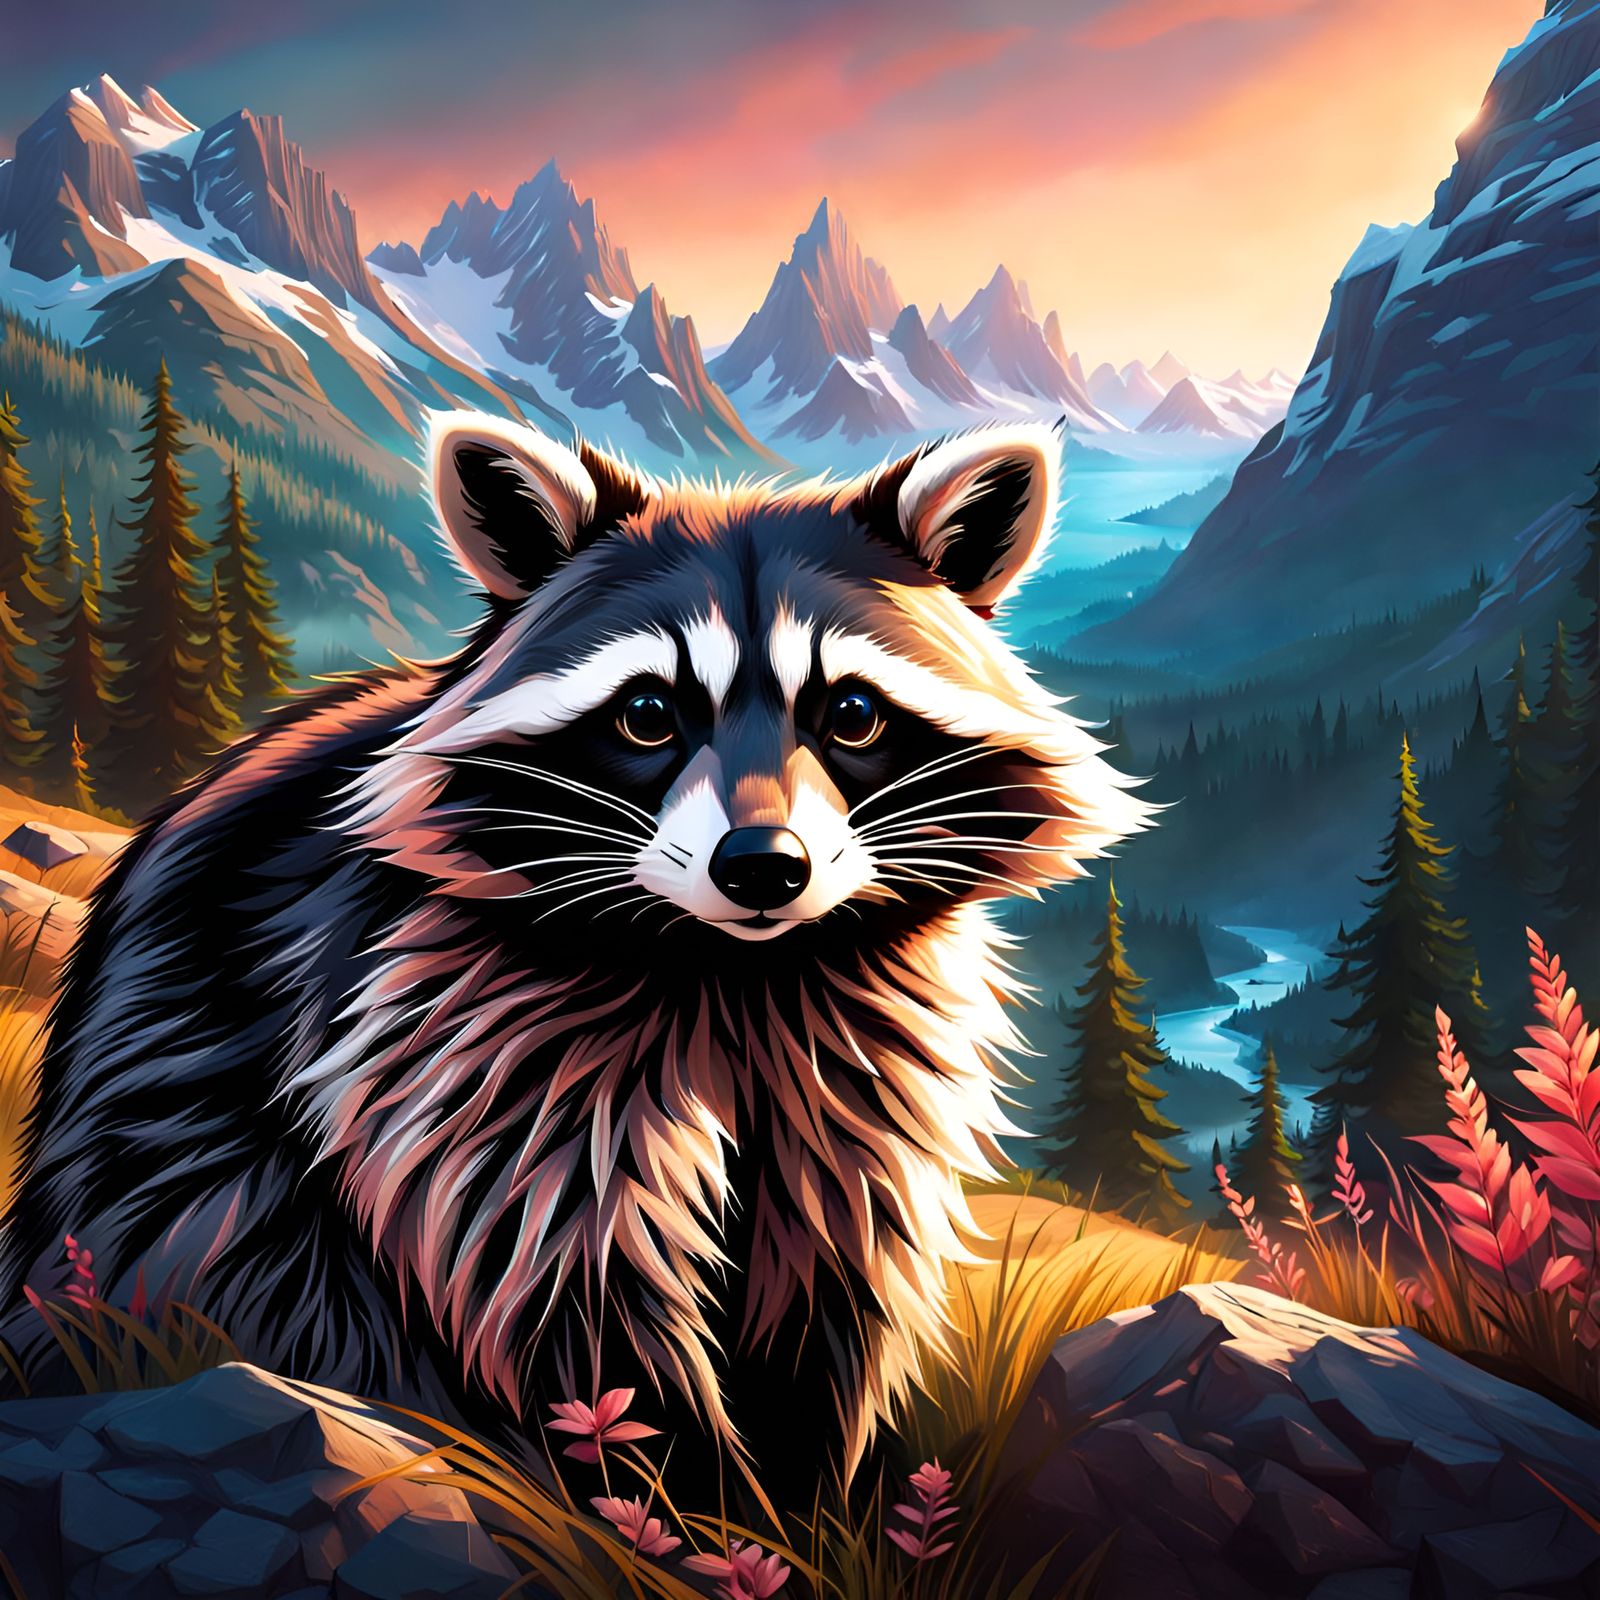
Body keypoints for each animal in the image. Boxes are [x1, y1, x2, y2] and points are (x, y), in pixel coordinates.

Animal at [0, 415, 1146, 1493]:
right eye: (646, 714)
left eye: (853, 713)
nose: (762, 868)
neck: (735, 972)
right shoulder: (456, 1033)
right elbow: (560, 1287)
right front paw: (694, 1507)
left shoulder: (853, 1064)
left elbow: (830, 1268)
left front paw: (809, 1492)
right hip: (189, 1204)